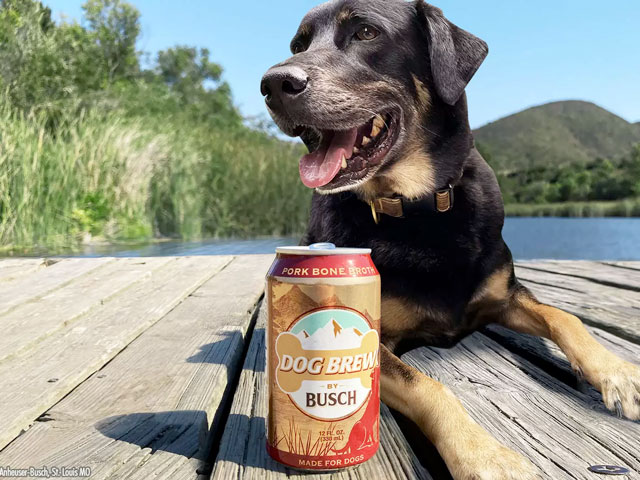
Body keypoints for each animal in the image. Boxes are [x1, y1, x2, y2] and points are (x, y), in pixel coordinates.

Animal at [260, 1, 640, 478]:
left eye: (366, 32)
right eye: (299, 45)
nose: (272, 84)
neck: (419, 207)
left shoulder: (504, 295)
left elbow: (564, 316)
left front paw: (619, 373)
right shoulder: (376, 337)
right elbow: (428, 386)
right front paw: (487, 456)